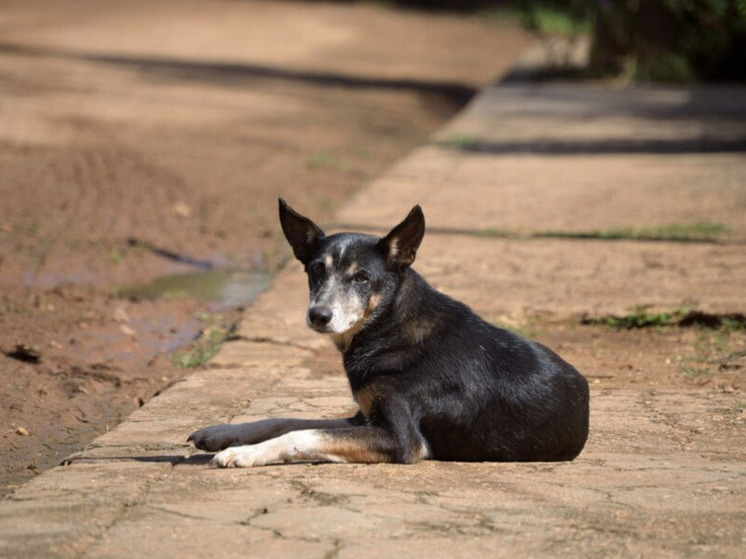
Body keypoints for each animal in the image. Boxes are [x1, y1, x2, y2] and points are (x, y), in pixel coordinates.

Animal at [186, 201, 588, 468]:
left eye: (362, 278)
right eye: (315, 270)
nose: (318, 316)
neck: (389, 327)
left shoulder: (401, 439)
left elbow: (301, 435)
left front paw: (242, 452)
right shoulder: (363, 417)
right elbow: (285, 420)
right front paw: (221, 433)